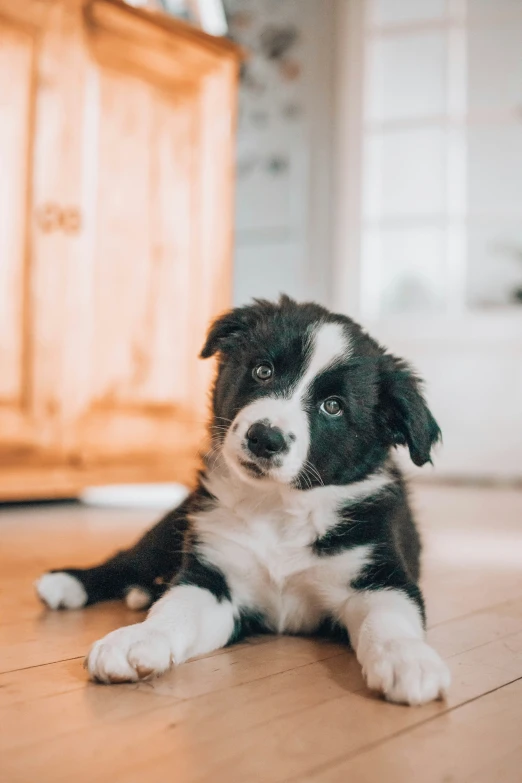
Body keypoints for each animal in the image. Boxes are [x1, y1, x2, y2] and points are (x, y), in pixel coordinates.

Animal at [37, 298, 450, 708]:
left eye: (333, 406)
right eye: (263, 371)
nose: (265, 438)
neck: (277, 508)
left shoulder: (380, 576)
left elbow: (391, 619)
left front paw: (408, 659)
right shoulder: (213, 577)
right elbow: (176, 609)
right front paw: (136, 639)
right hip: (173, 525)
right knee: (126, 559)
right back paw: (69, 583)